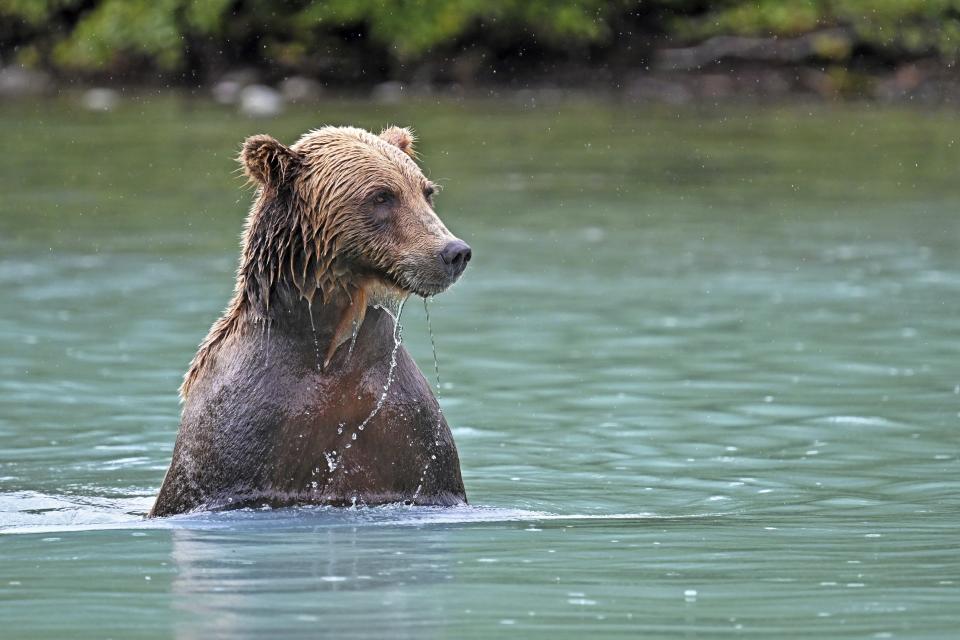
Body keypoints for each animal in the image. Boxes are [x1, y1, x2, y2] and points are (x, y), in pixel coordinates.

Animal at [149, 124, 472, 516]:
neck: (328, 347)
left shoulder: (411, 440)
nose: (454, 252)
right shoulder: (237, 438)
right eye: (382, 196)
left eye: (426, 191)